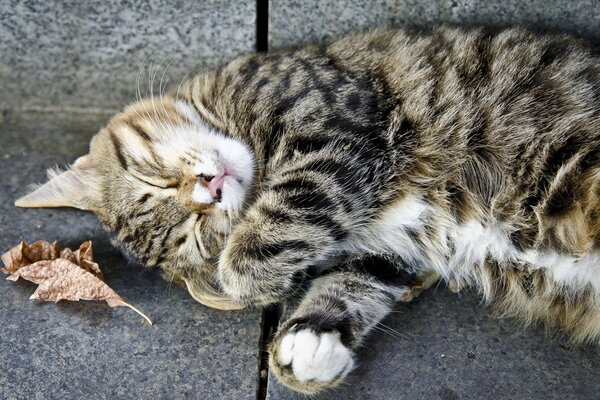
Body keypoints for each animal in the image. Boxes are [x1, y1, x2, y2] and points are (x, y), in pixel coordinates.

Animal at [14, 26, 600, 396]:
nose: (210, 190)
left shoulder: (337, 128)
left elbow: (264, 241)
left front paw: (255, 277)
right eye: (198, 234)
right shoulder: (391, 244)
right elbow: (352, 281)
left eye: (150, 182)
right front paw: (311, 340)